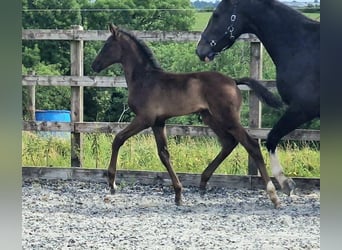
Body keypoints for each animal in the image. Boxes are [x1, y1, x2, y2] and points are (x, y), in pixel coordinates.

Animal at [196, 0, 320, 195]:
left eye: (216, 14)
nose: (200, 50)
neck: (301, 46)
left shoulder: (303, 108)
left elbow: (272, 137)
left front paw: (285, 182)